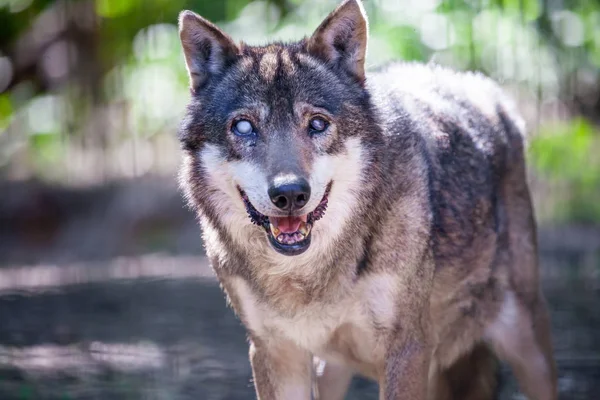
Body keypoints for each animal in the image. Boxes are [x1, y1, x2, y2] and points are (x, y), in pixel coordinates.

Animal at [175, 1, 556, 398]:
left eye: (317, 124)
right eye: (244, 126)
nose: (290, 193)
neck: (306, 276)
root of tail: (484, 88)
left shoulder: (408, 348)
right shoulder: (275, 352)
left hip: (528, 346)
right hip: (334, 370)